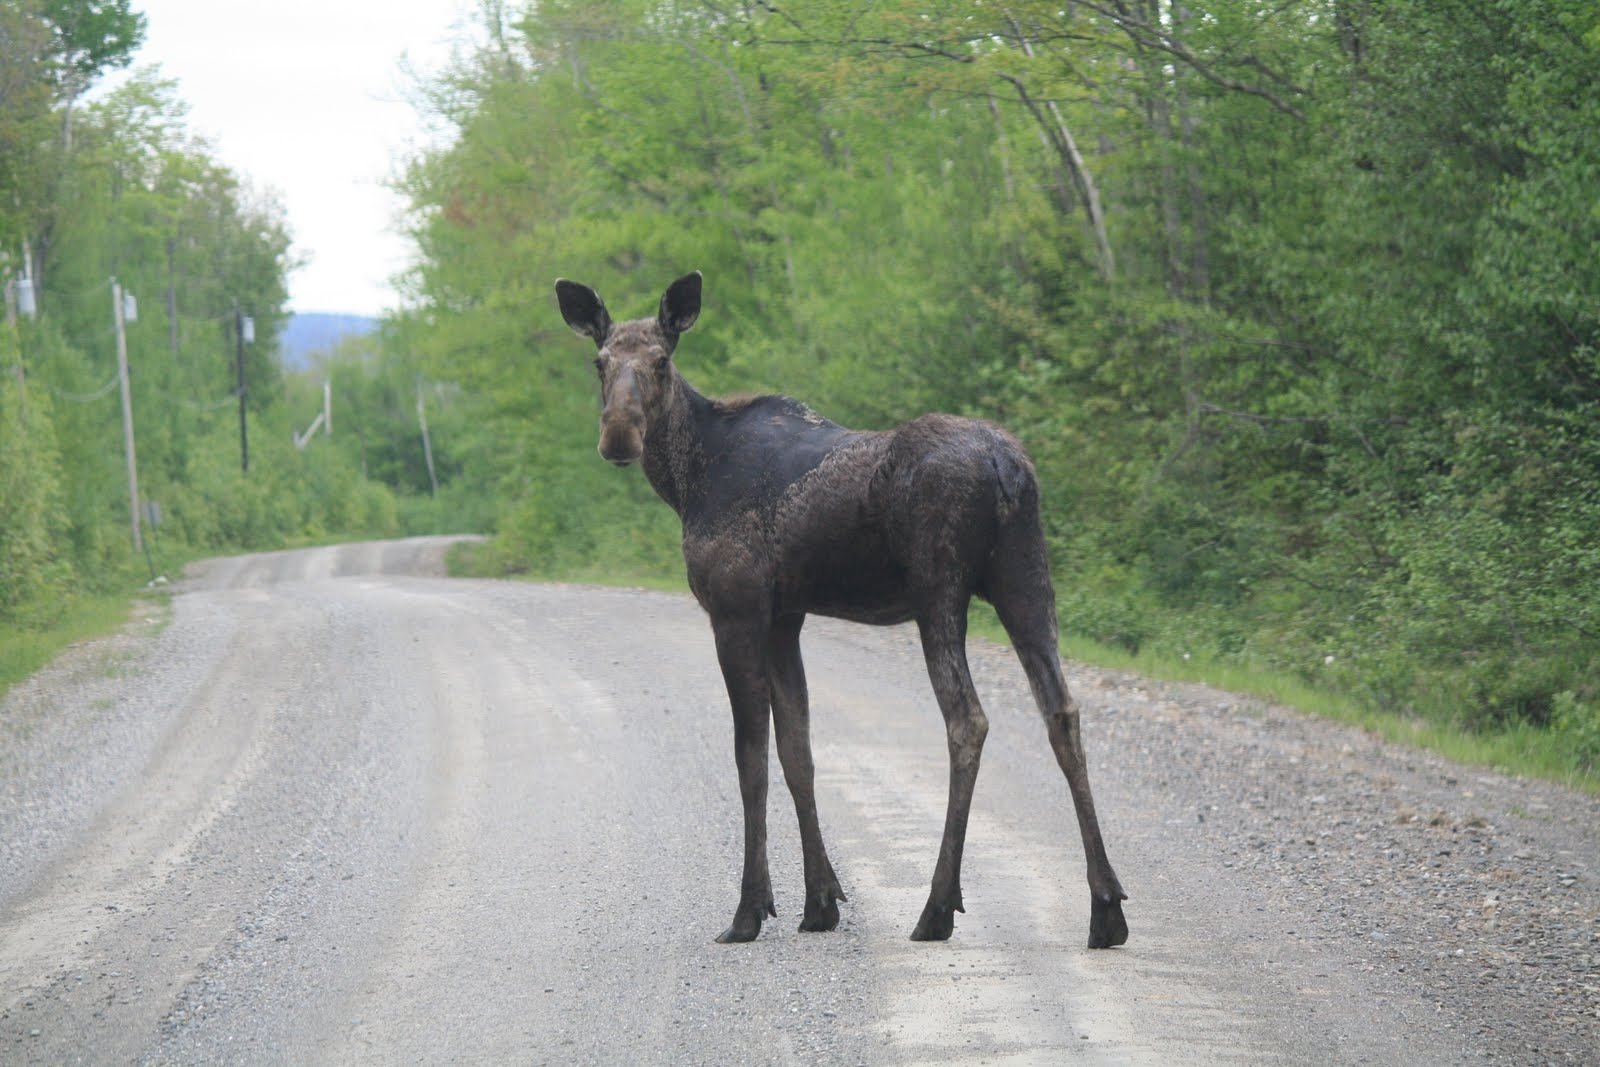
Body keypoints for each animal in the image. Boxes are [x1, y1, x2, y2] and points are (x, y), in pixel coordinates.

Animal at [556, 271, 1132, 947]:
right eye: (600, 361)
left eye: (662, 362)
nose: (618, 435)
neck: (686, 480)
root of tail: (1005, 468)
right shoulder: (786, 619)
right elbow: (798, 753)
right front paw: (820, 901)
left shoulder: (737, 611)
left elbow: (750, 757)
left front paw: (749, 910)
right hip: (1027, 580)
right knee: (1062, 712)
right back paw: (1107, 906)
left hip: (940, 590)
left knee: (968, 720)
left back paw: (937, 906)